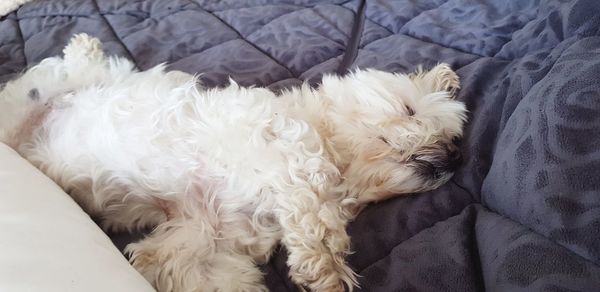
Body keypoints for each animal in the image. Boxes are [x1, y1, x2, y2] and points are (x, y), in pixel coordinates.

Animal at [0, 34, 468, 292]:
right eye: (409, 110)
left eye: (451, 137)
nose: (453, 155)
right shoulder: (282, 147)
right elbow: (313, 206)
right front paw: (327, 267)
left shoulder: (198, 232)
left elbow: (182, 268)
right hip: (58, 89)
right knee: (79, 64)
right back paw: (85, 44)